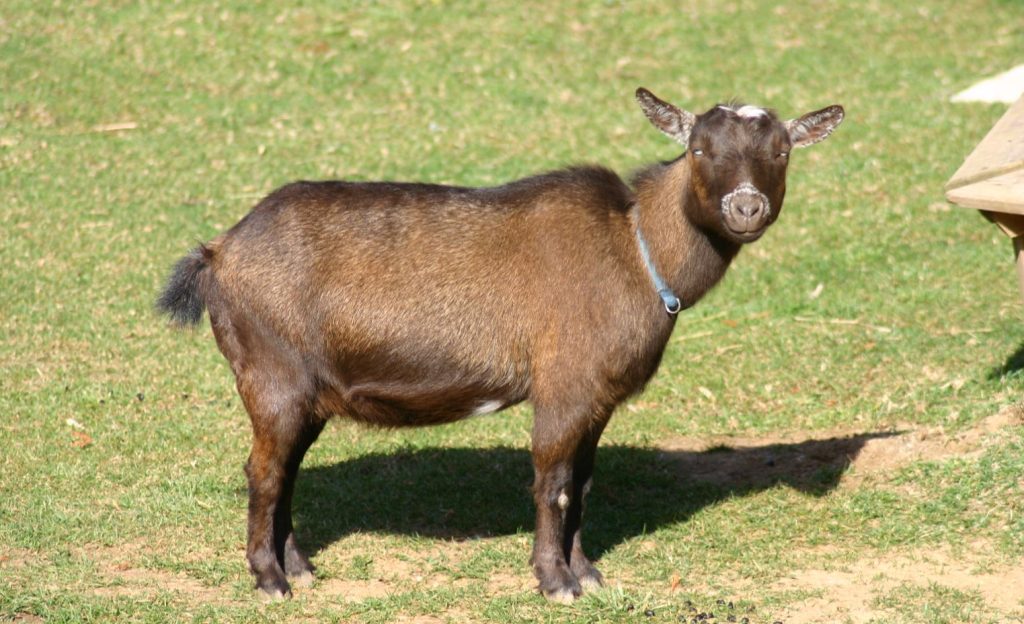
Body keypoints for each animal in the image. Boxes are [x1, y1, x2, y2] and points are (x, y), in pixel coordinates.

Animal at [155, 87, 843, 602]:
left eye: (781, 150)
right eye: (700, 147)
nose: (746, 208)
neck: (634, 245)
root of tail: (218, 252)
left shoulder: (598, 397)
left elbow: (582, 483)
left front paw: (587, 572)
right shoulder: (564, 384)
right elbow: (551, 481)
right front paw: (554, 582)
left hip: (306, 391)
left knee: (285, 470)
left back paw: (299, 568)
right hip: (270, 373)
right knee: (264, 470)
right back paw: (270, 581)